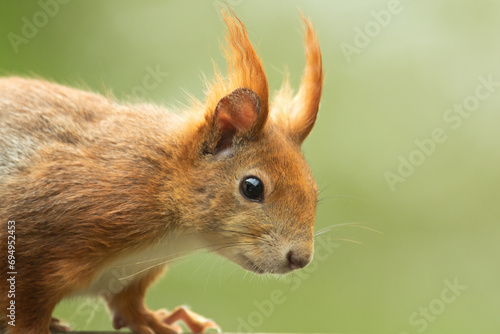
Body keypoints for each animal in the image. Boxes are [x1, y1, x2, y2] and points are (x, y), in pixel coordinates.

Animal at [0, 7, 324, 334]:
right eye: (252, 187)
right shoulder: (39, 241)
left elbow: (129, 307)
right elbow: (27, 311)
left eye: (314, 191)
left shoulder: (130, 276)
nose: (300, 259)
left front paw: (155, 320)